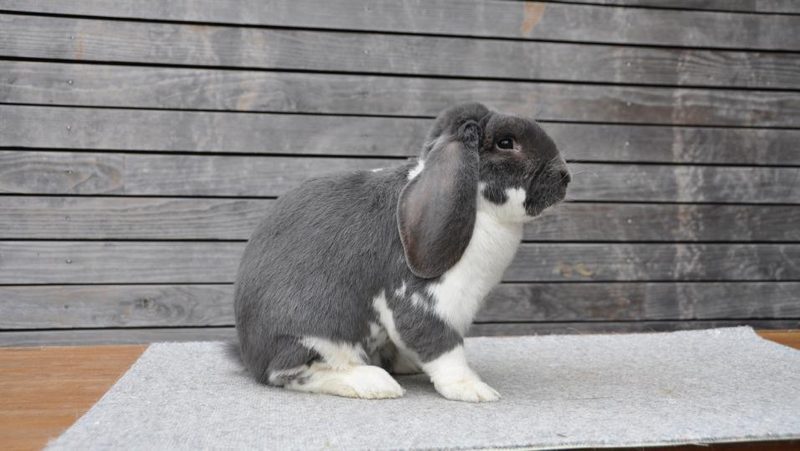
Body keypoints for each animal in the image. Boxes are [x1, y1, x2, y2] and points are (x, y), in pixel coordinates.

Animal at [234, 102, 570, 402]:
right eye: (506, 143)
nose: (565, 177)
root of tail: (251, 355)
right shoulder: (423, 303)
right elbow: (442, 347)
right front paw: (473, 389)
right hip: (311, 332)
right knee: (289, 372)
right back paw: (372, 382)